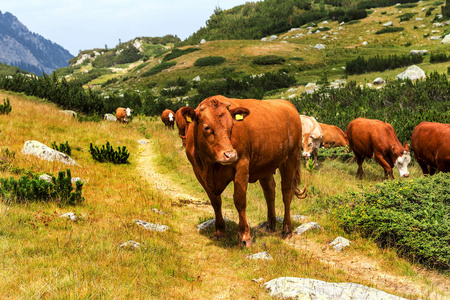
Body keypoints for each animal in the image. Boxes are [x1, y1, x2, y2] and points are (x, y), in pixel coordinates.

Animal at [181, 95, 308, 246]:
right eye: (207, 127)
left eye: (231, 126)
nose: (230, 155)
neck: (210, 165)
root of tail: (288, 104)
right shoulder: (199, 173)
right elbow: (215, 202)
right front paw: (219, 232)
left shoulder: (242, 165)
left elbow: (240, 200)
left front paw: (244, 237)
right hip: (266, 166)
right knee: (269, 192)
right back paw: (270, 225)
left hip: (291, 158)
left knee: (286, 193)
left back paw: (286, 230)